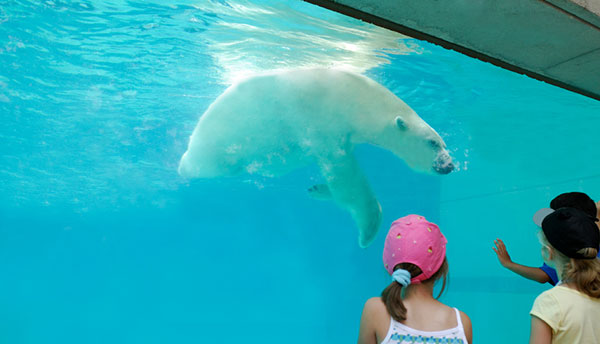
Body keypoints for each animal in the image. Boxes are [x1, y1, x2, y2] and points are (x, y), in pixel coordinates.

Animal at [180, 68, 452, 247]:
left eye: (444, 143)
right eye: (432, 143)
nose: (448, 165)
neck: (357, 98)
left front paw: (319, 189)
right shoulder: (325, 124)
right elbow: (347, 181)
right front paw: (369, 227)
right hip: (215, 143)